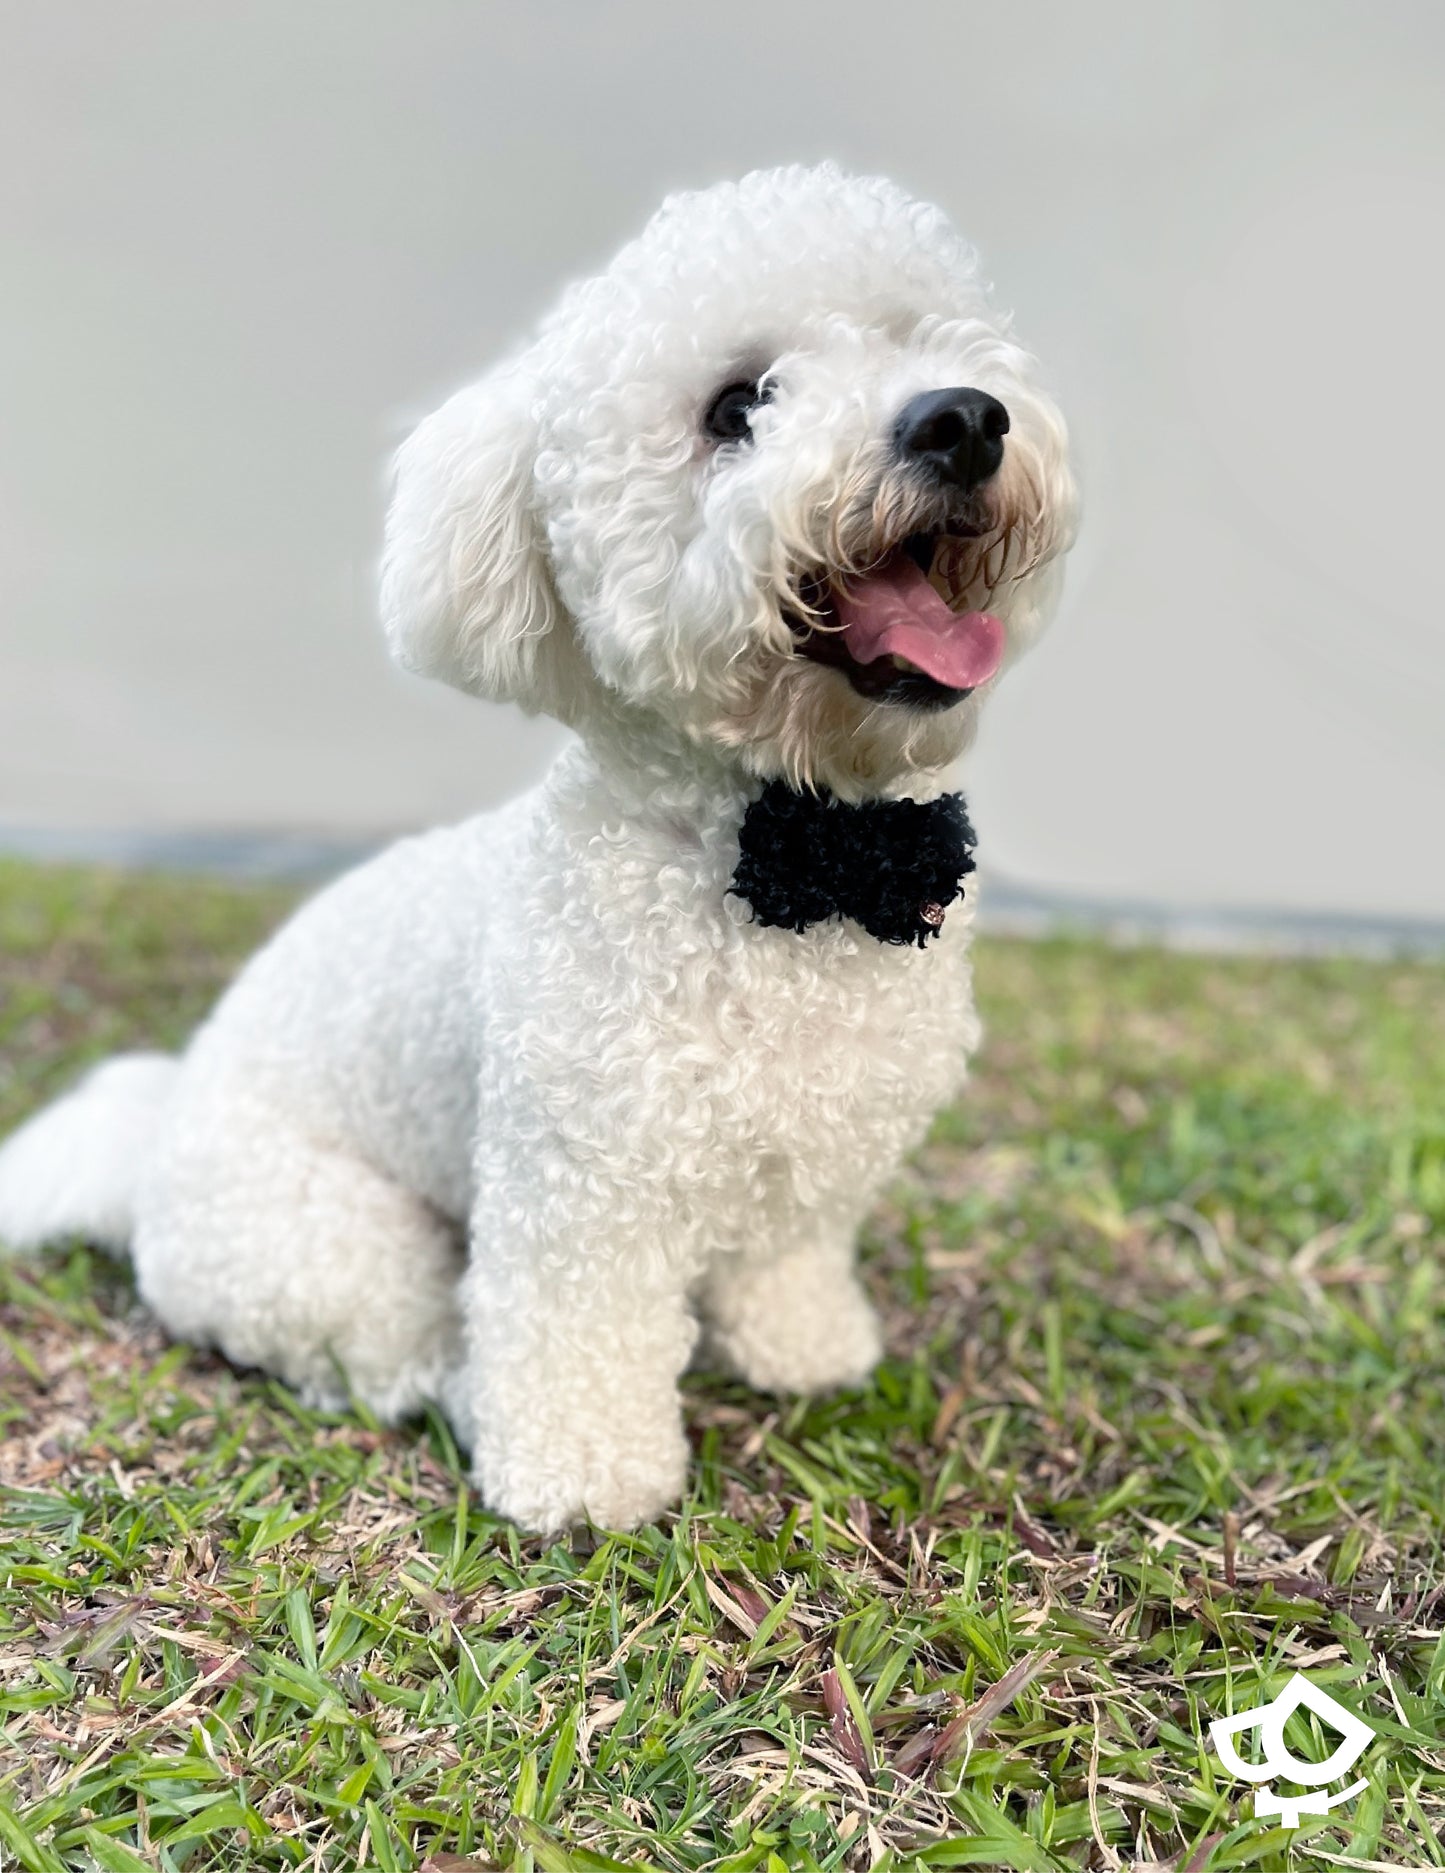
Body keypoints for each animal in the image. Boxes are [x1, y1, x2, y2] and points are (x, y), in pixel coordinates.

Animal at [0, 168, 1072, 1528]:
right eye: (737, 406)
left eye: (918, 339)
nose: (961, 420)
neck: (796, 857)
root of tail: (147, 1149)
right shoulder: (580, 1186)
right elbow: (575, 1332)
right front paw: (583, 1478)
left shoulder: (813, 1162)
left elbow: (787, 1259)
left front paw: (807, 1352)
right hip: (329, 1244)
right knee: (396, 1344)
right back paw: (460, 1389)